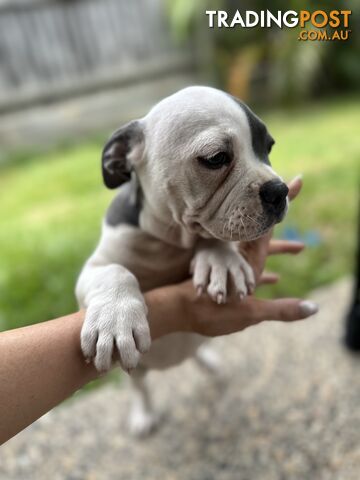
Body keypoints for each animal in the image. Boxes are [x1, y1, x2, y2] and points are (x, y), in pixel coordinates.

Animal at [76, 86, 290, 436]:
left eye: (268, 148)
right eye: (216, 158)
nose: (279, 189)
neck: (170, 240)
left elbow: (215, 237)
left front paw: (220, 260)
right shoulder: (95, 267)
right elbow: (115, 271)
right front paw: (115, 318)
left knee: (196, 352)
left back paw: (210, 363)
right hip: (135, 371)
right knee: (141, 387)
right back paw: (144, 414)